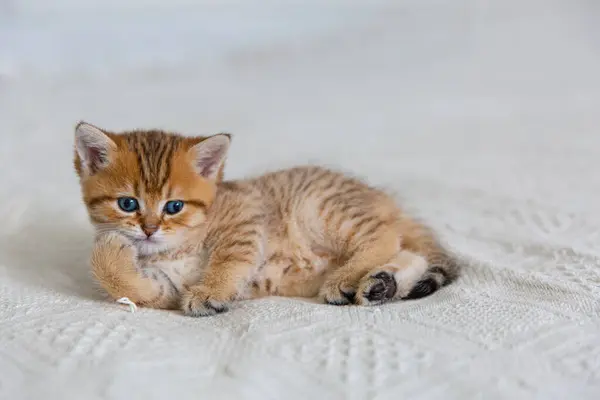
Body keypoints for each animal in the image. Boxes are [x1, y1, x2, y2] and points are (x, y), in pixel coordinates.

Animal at [74, 121, 460, 316]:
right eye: (127, 203)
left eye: (174, 206)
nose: (149, 229)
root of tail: (386, 200)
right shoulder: (167, 286)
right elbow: (133, 287)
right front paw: (111, 249)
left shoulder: (244, 215)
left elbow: (231, 257)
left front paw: (213, 290)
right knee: (413, 253)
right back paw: (382, 284)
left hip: (321, 207)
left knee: (385, 237)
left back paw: (347, 278)